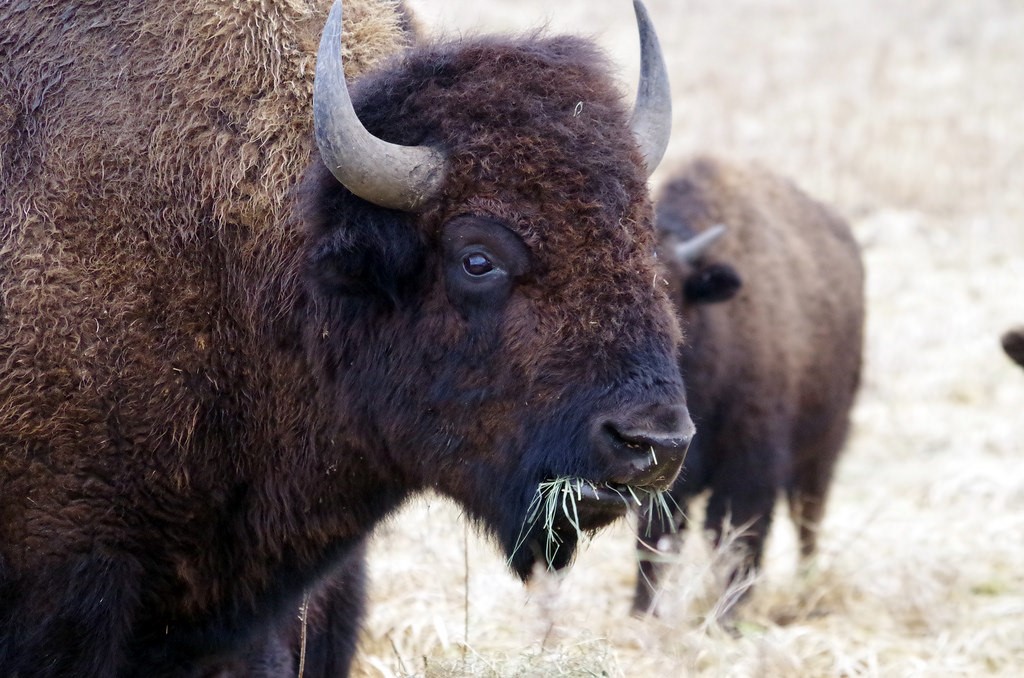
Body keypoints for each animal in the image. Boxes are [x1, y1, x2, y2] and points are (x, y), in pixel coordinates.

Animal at [630, 156, 864, 618]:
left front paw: (729, 618)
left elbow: (739, 536)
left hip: (823, 450)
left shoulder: (750, 466)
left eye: (669, 293)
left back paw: (806, 585)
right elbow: (656, 539)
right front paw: (642, 613)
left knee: (807, 519)